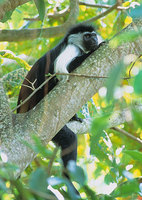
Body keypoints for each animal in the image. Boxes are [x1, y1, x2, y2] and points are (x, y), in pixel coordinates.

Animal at [17, 23, 99, 197]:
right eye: (87, 36)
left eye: (93, 35)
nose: (95, 40)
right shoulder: (71, 49)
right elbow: (62, 72)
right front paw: (97, 48)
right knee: (69, 138)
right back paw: (68, 180)